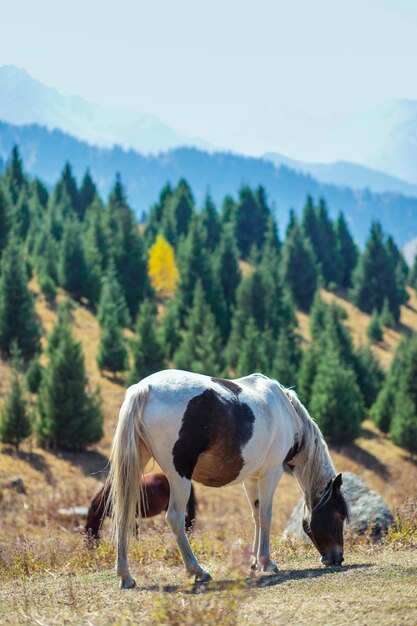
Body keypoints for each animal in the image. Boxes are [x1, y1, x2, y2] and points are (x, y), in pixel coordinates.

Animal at [107, 368, 348, 588]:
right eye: (339, 515)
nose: (337, 558)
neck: (287, 413)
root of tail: (144, 388)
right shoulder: (271, 473)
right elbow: (266, 516)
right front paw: (266, 562)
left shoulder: (251, 479)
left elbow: (256, 515)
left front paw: (255, 563)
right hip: (179, 476)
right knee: (175, 518)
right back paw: (198, 570)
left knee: (124, 514)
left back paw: (125, 576)